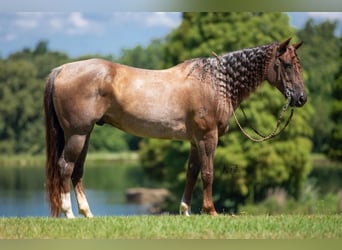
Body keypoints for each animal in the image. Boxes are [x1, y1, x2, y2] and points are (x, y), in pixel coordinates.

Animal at [44, 36, 306, 217]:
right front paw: (210, 210)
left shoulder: (195, 140)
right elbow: (208, 173)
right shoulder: (207, 137)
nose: (301, 98)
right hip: (77, 134)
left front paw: (185, 210)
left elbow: (191, 173)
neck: (215, 83)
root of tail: (62, 69)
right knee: (65, 166)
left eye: (298, 64)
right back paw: (69, 213)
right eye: (287, 64)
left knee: (77, 170)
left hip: (85, 134)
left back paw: (87, 213)